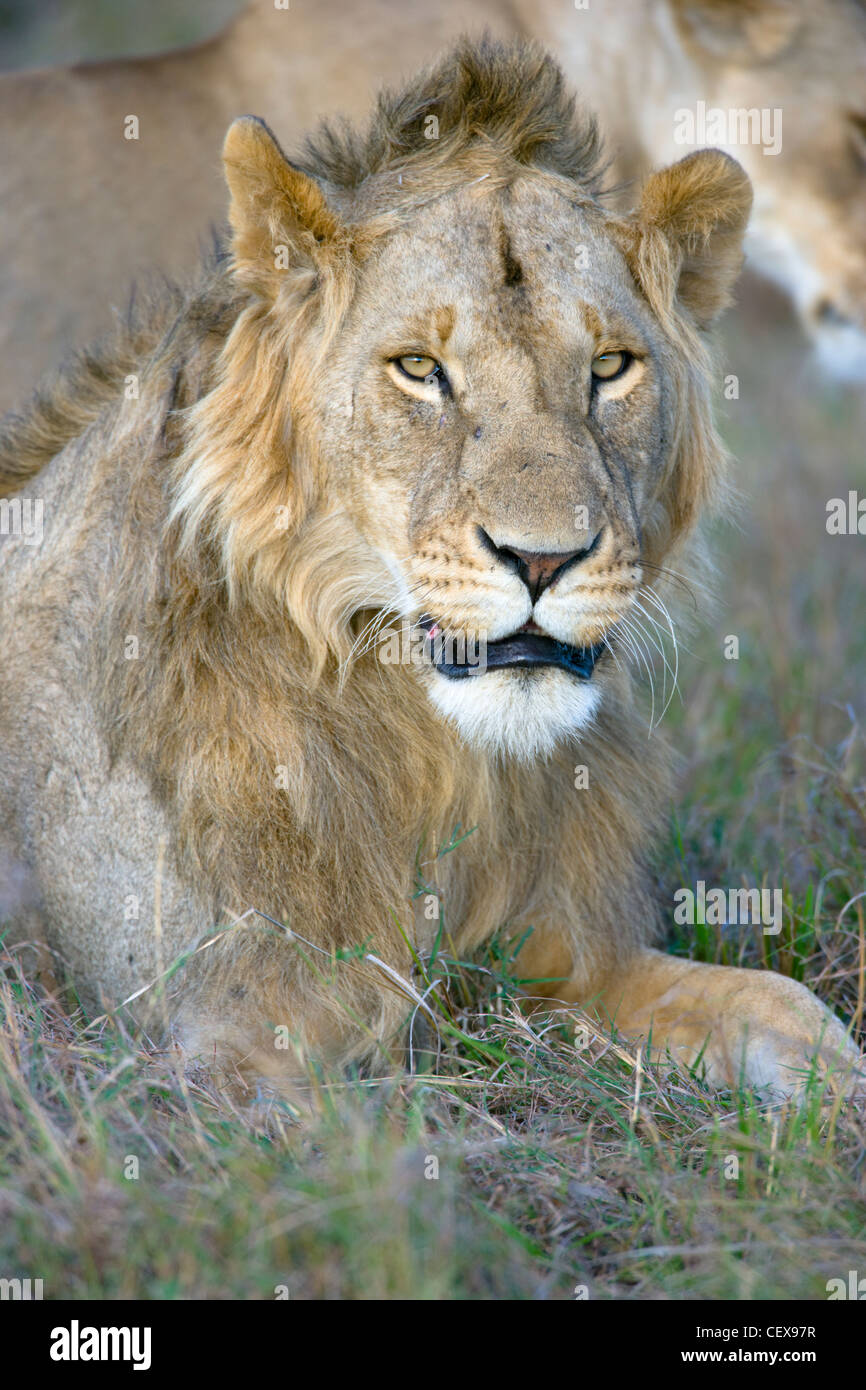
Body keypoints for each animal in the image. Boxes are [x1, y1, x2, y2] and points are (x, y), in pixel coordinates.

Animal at [0, 40, 861, 1104]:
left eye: (610, 367)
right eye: (418, 369)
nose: (544, 556)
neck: (433, 759)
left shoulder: (573, 959)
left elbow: (789, 1007)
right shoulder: (211, 1038)